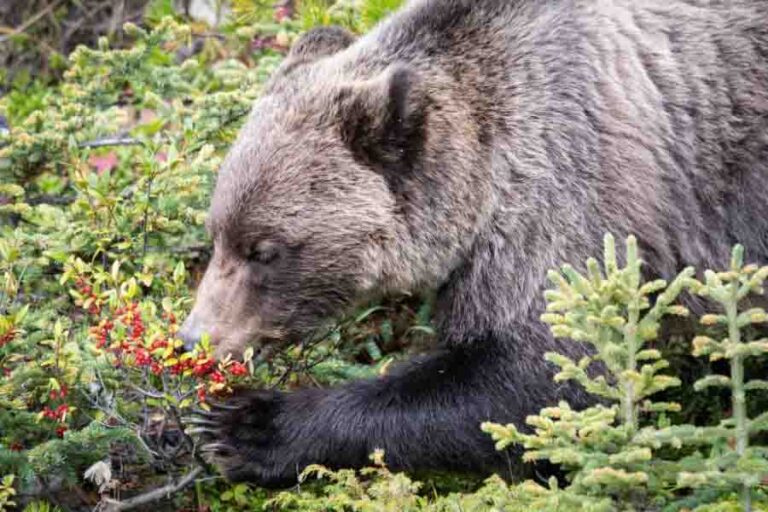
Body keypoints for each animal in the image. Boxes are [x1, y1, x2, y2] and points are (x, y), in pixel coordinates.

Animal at [179, 0, 768, 488]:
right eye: (217, 234)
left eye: (265, 250)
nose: (195, 338)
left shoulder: (571, 196)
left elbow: (539, 376)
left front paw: (247, 427)